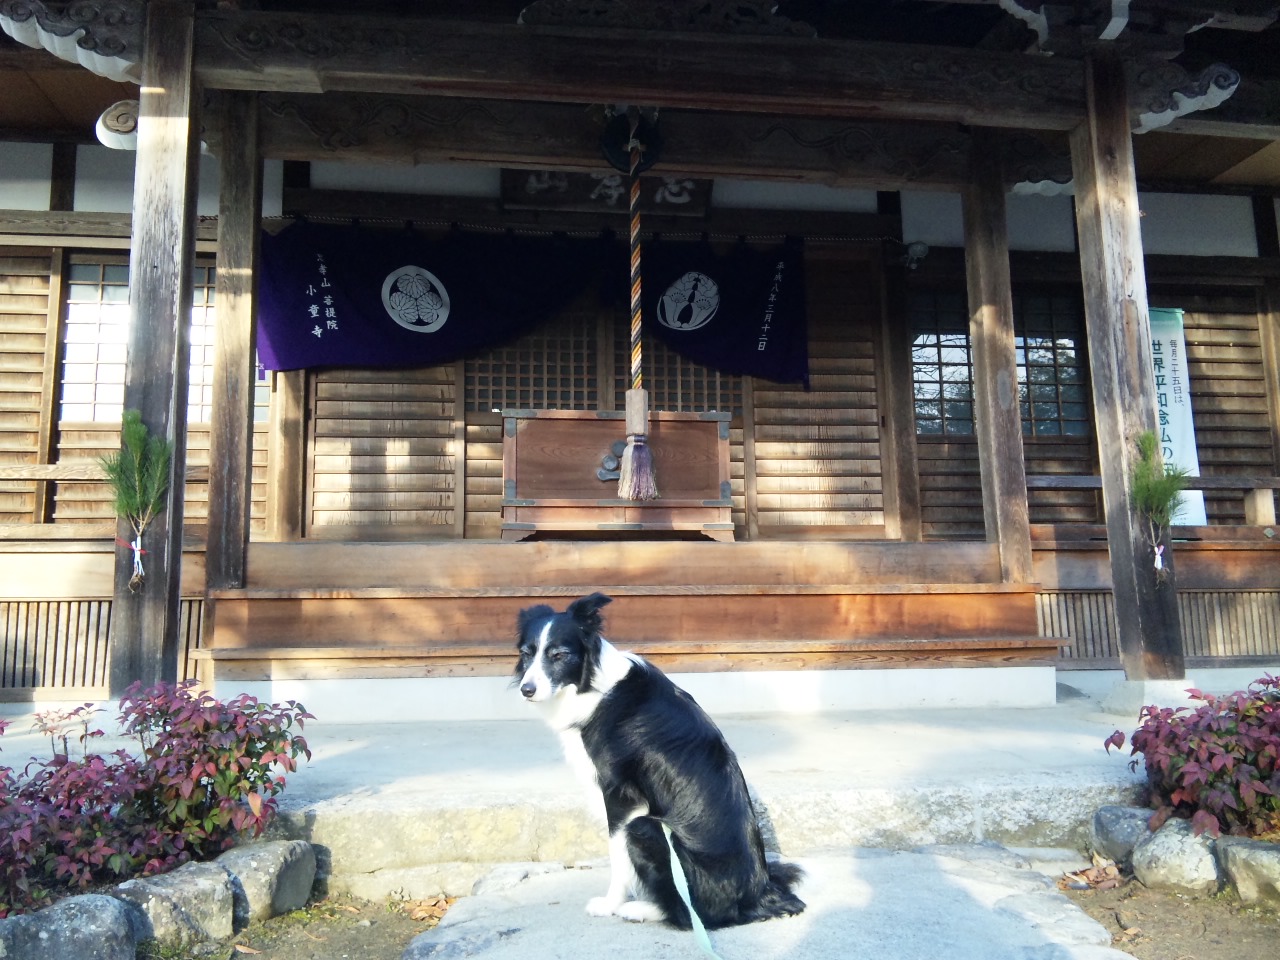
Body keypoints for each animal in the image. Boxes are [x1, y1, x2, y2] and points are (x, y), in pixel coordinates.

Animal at [513, 592, 805, 930]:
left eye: (559, 655)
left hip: (645, 826)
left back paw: (643, 909)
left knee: (692, 915)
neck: (594, 683)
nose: (526, 690)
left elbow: (618, 857)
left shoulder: (620, 798)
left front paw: (610, 904)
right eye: (526, 654)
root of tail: (757, 897)